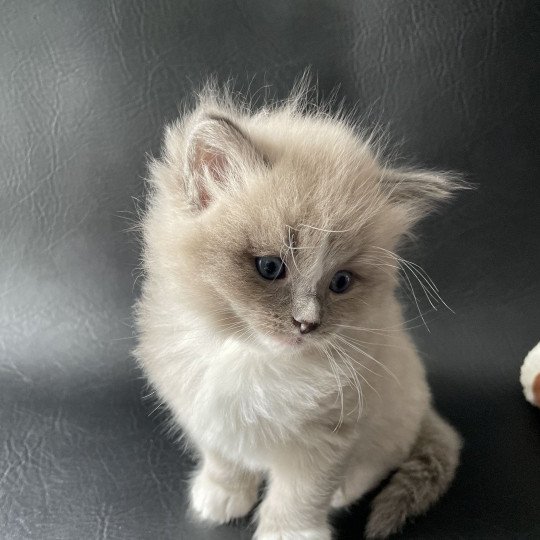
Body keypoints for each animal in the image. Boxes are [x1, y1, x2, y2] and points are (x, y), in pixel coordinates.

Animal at [134, 85, 460, 540]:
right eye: (271, 267)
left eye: (340, 282)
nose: (307, 324)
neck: (251, 359)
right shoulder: (208, 414)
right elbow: (225, 463)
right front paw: (222, 497)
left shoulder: (326, 437)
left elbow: (297, 499)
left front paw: (287, 533)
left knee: (377, 464)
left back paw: (344, 492)